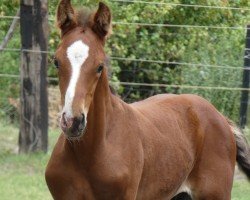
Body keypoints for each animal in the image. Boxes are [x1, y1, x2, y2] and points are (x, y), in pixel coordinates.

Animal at [45, 0, 250, 199]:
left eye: (100, 66)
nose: (72, 122)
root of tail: (221, 118)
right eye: (56, 62)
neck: (91, 154)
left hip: (216, 194)